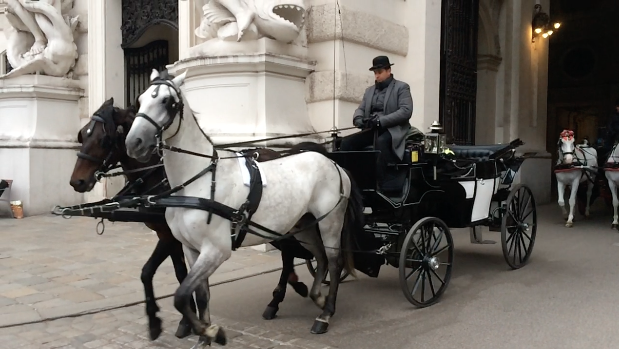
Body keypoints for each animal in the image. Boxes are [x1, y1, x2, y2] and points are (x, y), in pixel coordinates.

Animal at [70, 97, 324, 338]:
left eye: (104, 139)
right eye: (82, 134)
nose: (76, 181)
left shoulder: (171, 237)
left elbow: (172, 273)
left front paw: (185, 322)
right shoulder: (170, 235)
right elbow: (155, 272)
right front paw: (165, 322)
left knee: (289, 252)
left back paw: (282, 296)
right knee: (289, 251)